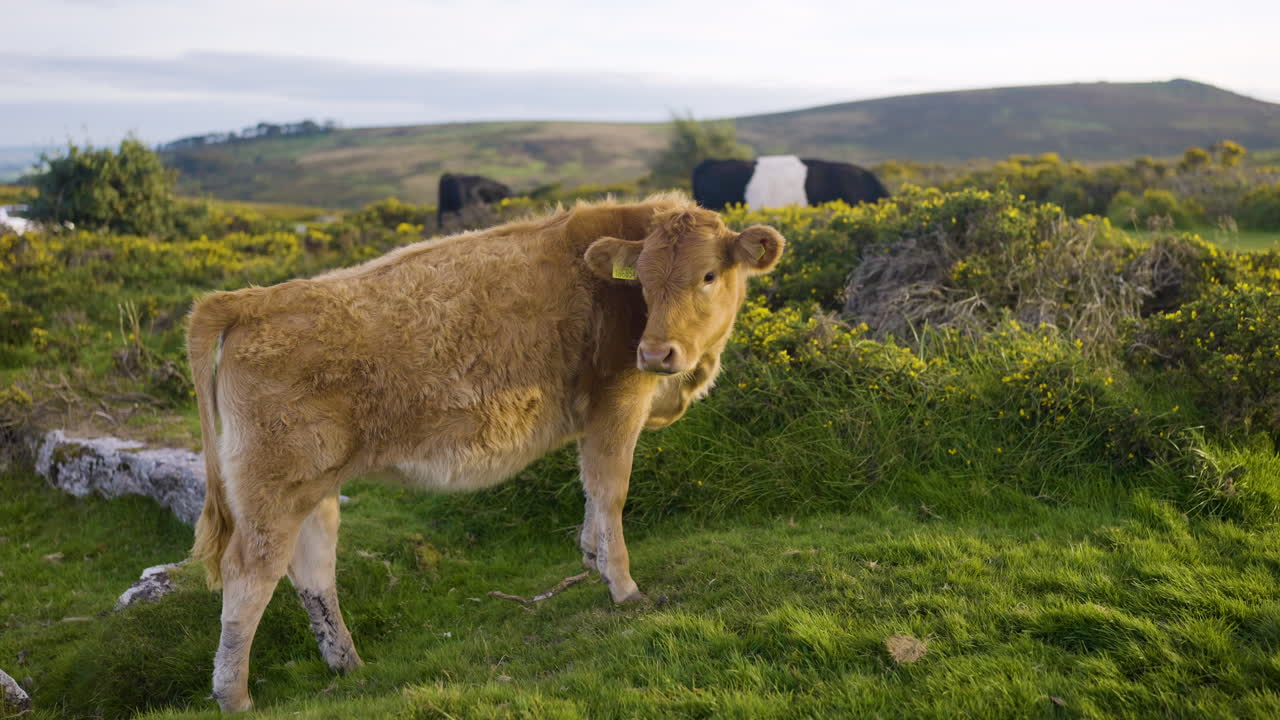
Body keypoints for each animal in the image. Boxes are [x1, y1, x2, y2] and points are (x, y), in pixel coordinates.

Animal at [185, 193, 785, 711]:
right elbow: (611, 490)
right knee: (250, 573)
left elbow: (591, 491)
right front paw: (623, 586)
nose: (656, 353)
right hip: (273, 484)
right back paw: (233, 696)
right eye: (642, 281)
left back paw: (347, 664)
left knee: (312, 568)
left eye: (707, 276)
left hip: (316, 483)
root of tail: (251, 298)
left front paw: (590, 555)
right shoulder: (616, 401)